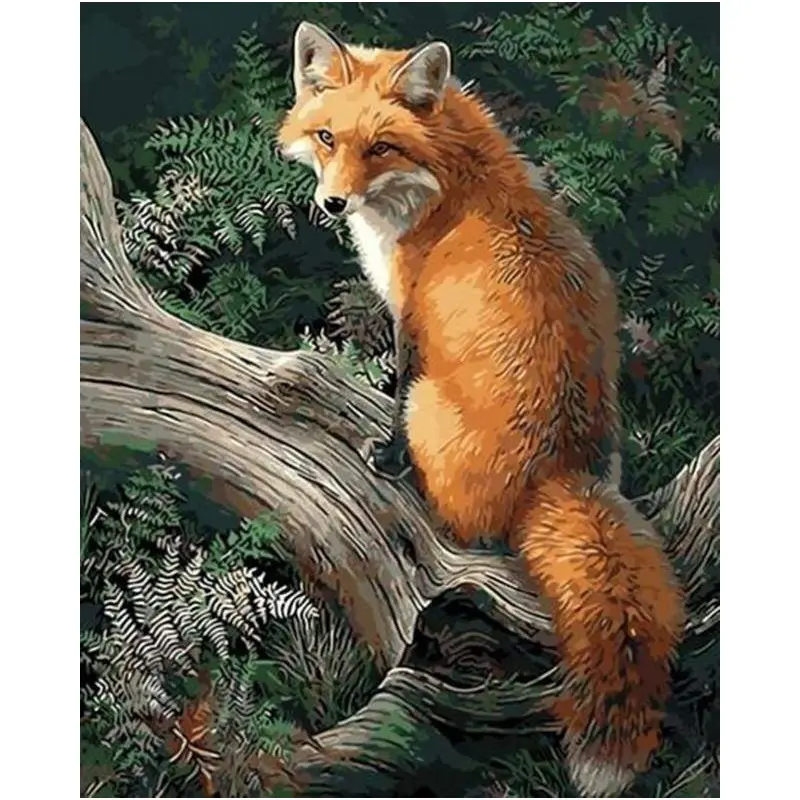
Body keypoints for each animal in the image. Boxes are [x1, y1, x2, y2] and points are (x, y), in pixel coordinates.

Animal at [278, 21, 685, 798]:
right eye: (326, 137)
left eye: (380, 147)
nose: (333, 205)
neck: (451, 180)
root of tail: (558, 474)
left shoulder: (410, 317)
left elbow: (395, 389)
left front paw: (385, 455)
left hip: (434, 410)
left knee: (460, 520)